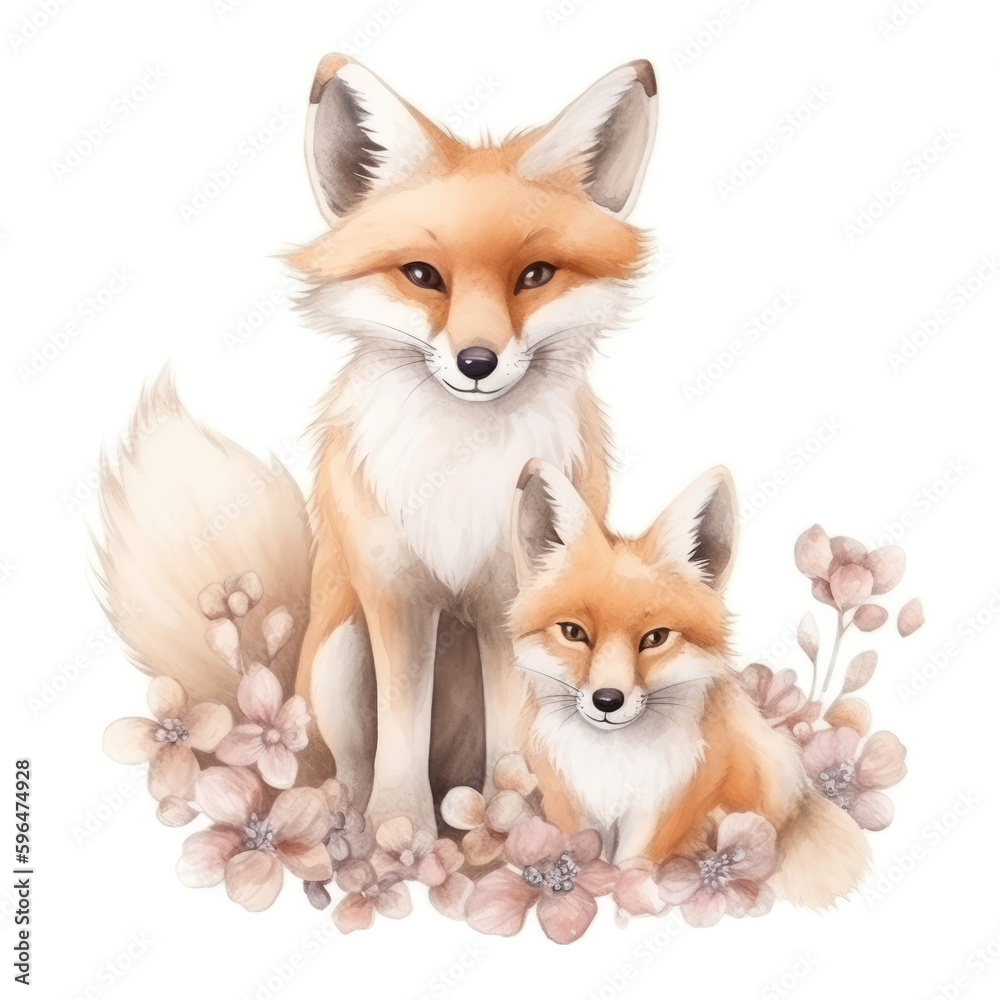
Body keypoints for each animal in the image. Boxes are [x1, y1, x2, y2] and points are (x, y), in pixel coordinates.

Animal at [97, 54, 659, 835]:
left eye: (535, 276)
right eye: (422, 275)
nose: (477, 363)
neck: (464, 468)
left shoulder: (515, 602)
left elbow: (515, 738)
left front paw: (519, 825)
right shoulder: (395, 594)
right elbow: (399, 734)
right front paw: (405, 834)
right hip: (340, 655)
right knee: (347, 769)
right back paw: (355, 830)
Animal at [508, 459, 871, 906]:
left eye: (655, 638)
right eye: (574, 633)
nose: (607, 701)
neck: (613, 762)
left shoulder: (667, 807)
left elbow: (631, 868)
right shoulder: (568, 800)